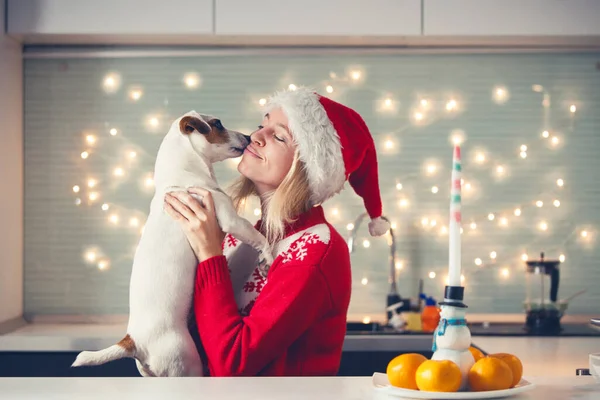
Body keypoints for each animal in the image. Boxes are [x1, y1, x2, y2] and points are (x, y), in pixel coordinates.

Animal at [71, 111, 274, 376]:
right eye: (218, 123)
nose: (249, 137)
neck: (180, 180)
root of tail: (134, 341)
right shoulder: (229, 219)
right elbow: (259, 237)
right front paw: (269, 257)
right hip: (186, 362)